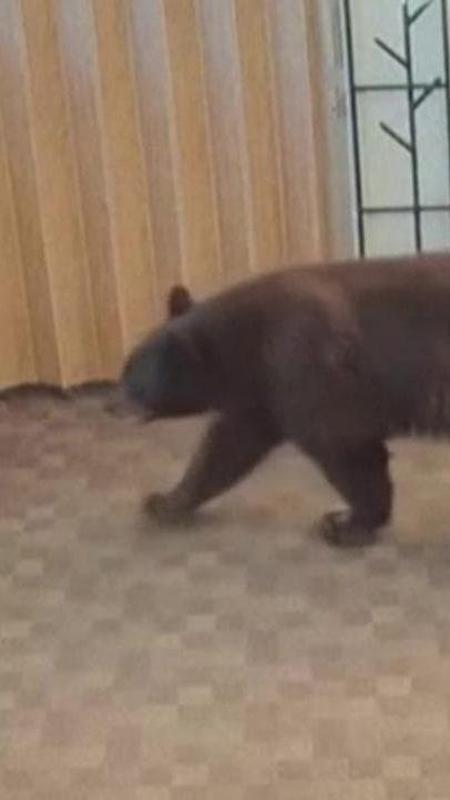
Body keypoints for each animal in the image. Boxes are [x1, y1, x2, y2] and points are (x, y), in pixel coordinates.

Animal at [120, 251, 450, 547]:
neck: (245, 343)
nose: (112, 401)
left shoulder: (303, 362)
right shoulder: (261, 395)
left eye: (131, 373)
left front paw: (346, 524)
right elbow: (224, 448)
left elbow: (345, 445)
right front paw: (164, 502)